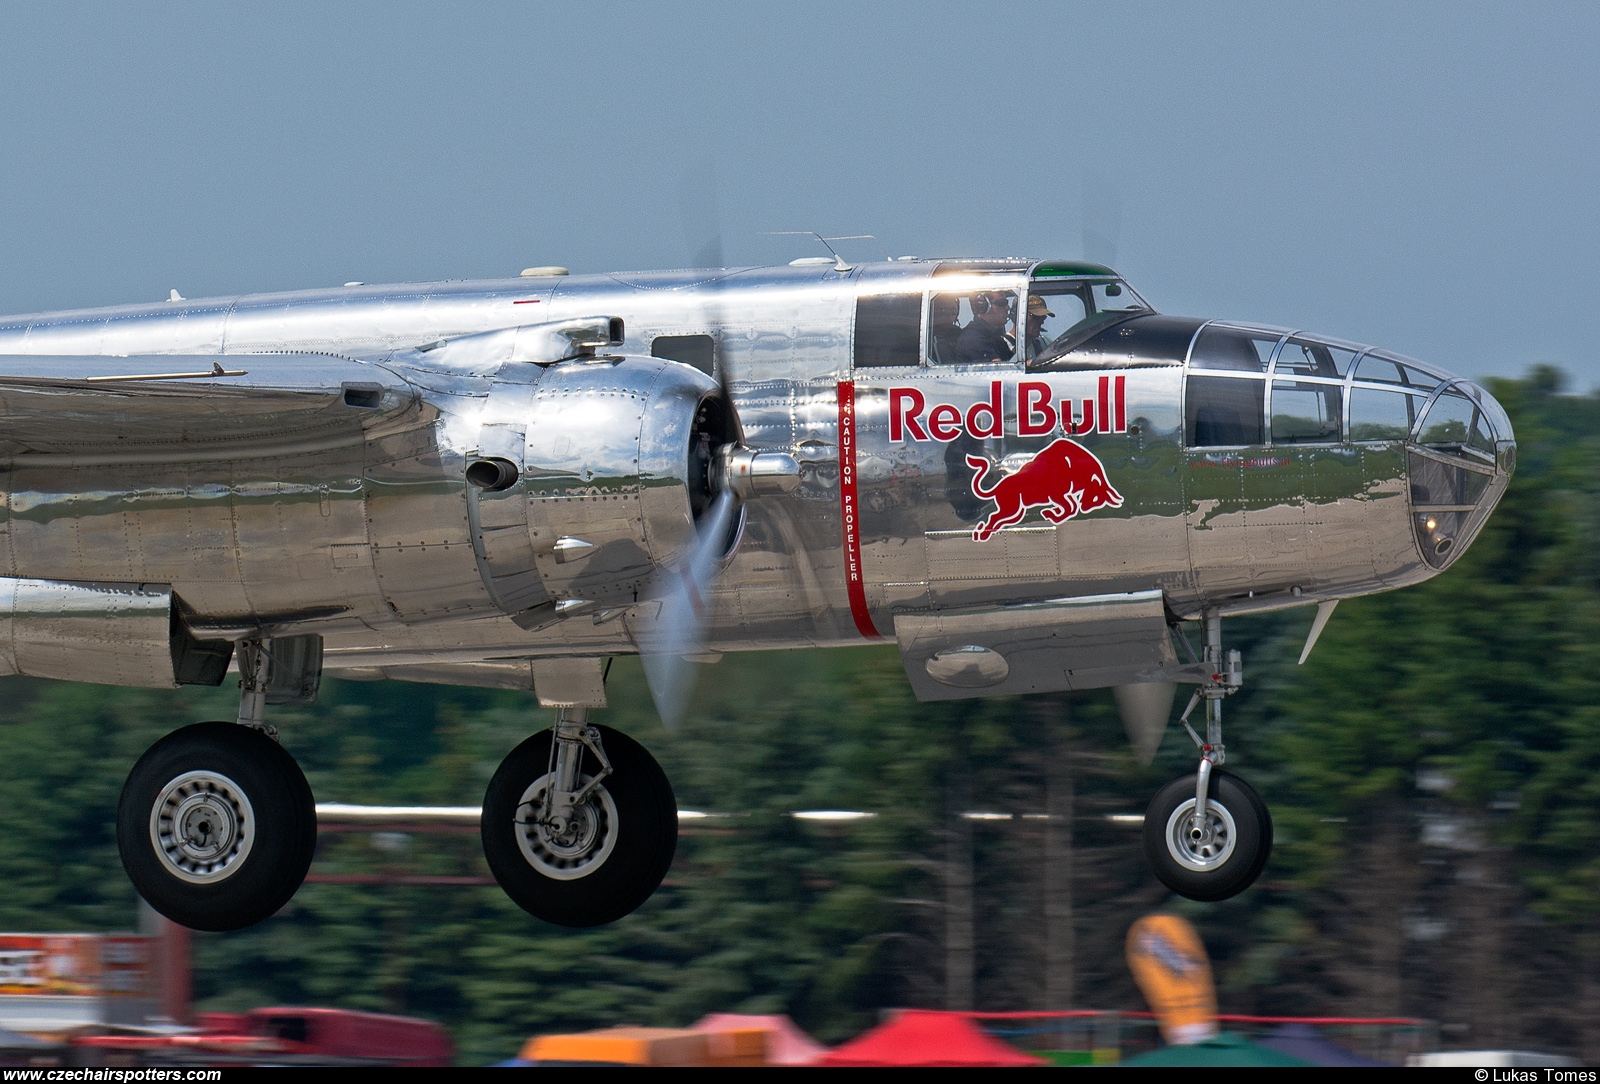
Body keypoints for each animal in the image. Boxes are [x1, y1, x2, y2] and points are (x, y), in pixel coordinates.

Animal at [965, 437, 1124, 542]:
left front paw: (1052, 514)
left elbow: (1070, 507)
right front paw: (1052, 514)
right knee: (993, 518)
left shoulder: (1063, 495)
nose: (1087, 506)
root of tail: (997, 487)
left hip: (1016, 511)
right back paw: (982, 535)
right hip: (1011, 508)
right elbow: (1070, 508)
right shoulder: (1057, 495)